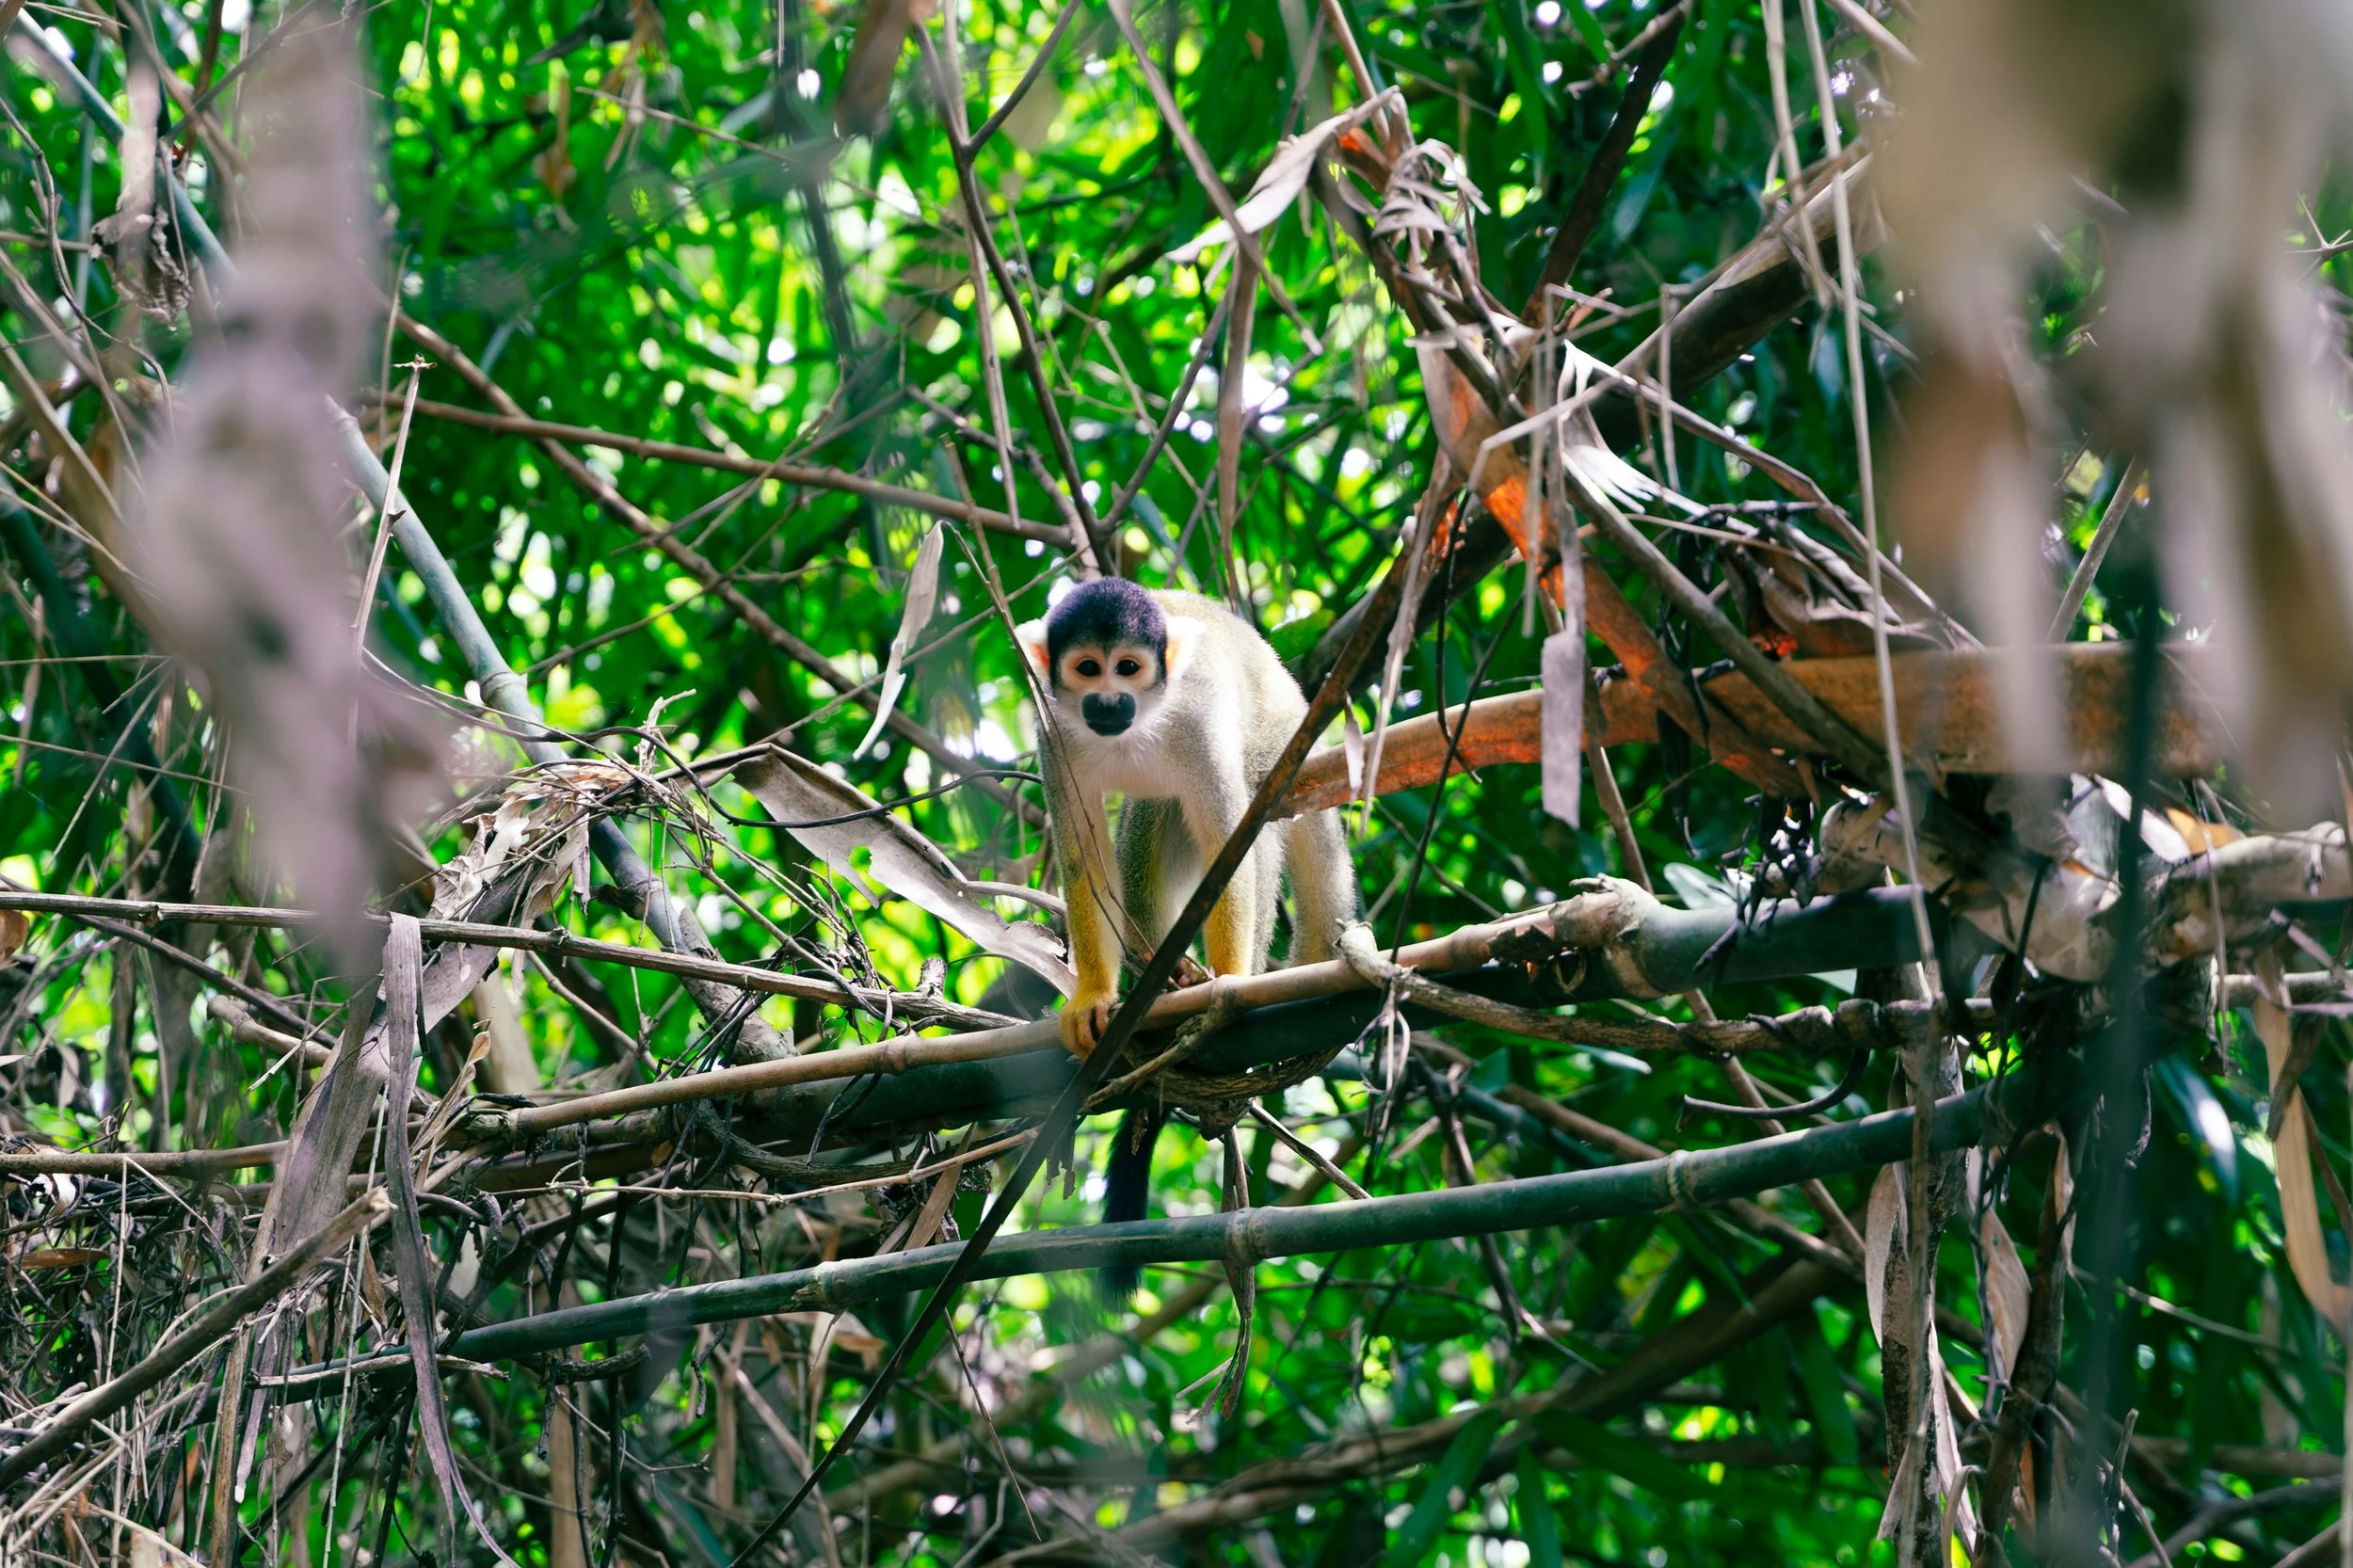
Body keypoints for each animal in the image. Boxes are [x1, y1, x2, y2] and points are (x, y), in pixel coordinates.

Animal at [1016, 579, 1357, 1282]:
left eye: (1128, 667)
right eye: (1087, 668)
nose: (1109, 701)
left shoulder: (1200, 725)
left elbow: (1231, 839)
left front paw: (1227, 985)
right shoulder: (1053, 732)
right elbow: (1083, 855)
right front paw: (1093, 997)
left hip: (1282, 734)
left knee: (1257, 806)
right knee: (1151, 820)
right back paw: (1162, 974)